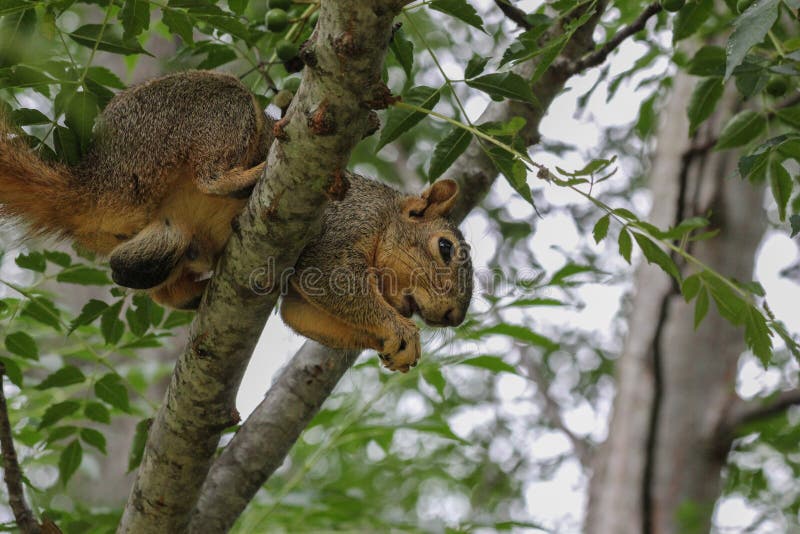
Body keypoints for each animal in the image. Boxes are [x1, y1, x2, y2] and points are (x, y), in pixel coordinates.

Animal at [0, 70, 472, 372]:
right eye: (445, 248)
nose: (452, 317)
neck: (382, 219)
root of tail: (90, 182)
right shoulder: (339, 230)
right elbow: (333, 280)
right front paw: (399, 329)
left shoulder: (301, 294)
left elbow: (301, 313)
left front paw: (393, 345)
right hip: (207, 115)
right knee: (211, 176)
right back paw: (244, 180)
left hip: (165, 235)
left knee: (134, 273)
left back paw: (194, 292)